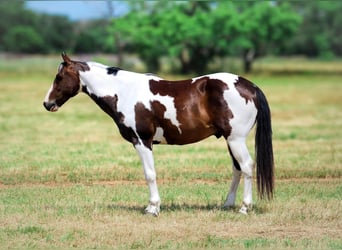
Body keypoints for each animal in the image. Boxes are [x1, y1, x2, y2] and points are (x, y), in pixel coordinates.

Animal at [42, 53, 274, 217]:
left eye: (59, 77)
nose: (47, 104)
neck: (124, 91)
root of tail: (251, 86)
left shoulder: (142, 141)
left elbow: (150, 174)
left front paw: (152, 208)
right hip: (230, 140)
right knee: (237, 168)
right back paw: (227, 204)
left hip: (236, 140)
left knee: (246, 166)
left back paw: (244, 208)